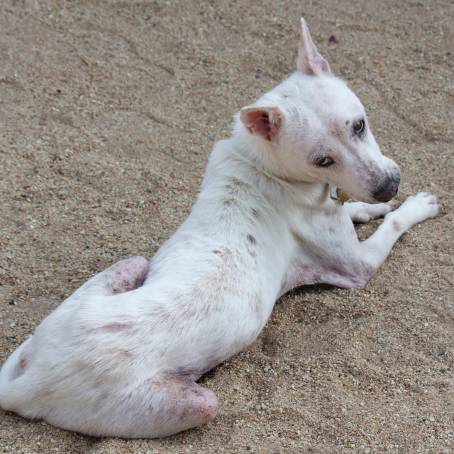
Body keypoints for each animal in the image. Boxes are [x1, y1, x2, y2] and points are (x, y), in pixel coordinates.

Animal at [0, 17, 440, 436]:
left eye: (359, 125)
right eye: (322, 160)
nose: (389, 185)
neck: (263, 164)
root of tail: (29, 381)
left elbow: (356, 210)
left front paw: (370, 205)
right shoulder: (357, 267)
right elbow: (392, 224)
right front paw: (415, 205)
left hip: (123, 271)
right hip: (193, 403)